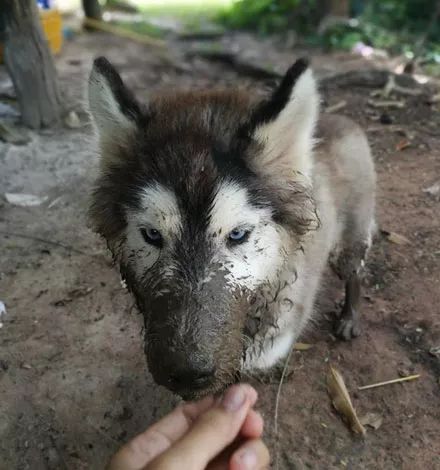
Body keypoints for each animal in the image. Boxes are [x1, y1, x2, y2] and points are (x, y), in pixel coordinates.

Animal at [88, 56, 374, 400]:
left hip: (349, 245)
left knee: (354, 274)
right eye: (152, 235)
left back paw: (349, 317)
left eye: (238, 235)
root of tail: (343, 120)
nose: (186, 373)